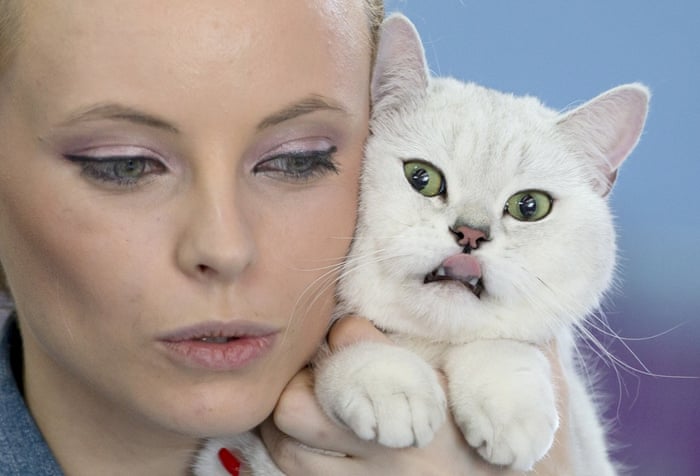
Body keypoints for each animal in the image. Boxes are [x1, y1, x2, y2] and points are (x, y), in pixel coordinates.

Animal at [194, 13, 648, 474]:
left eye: (529, 205)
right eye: (422, 177)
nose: (470, 233)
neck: (425, 346)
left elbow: (504, 343)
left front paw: (513, 411)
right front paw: (390, 389)